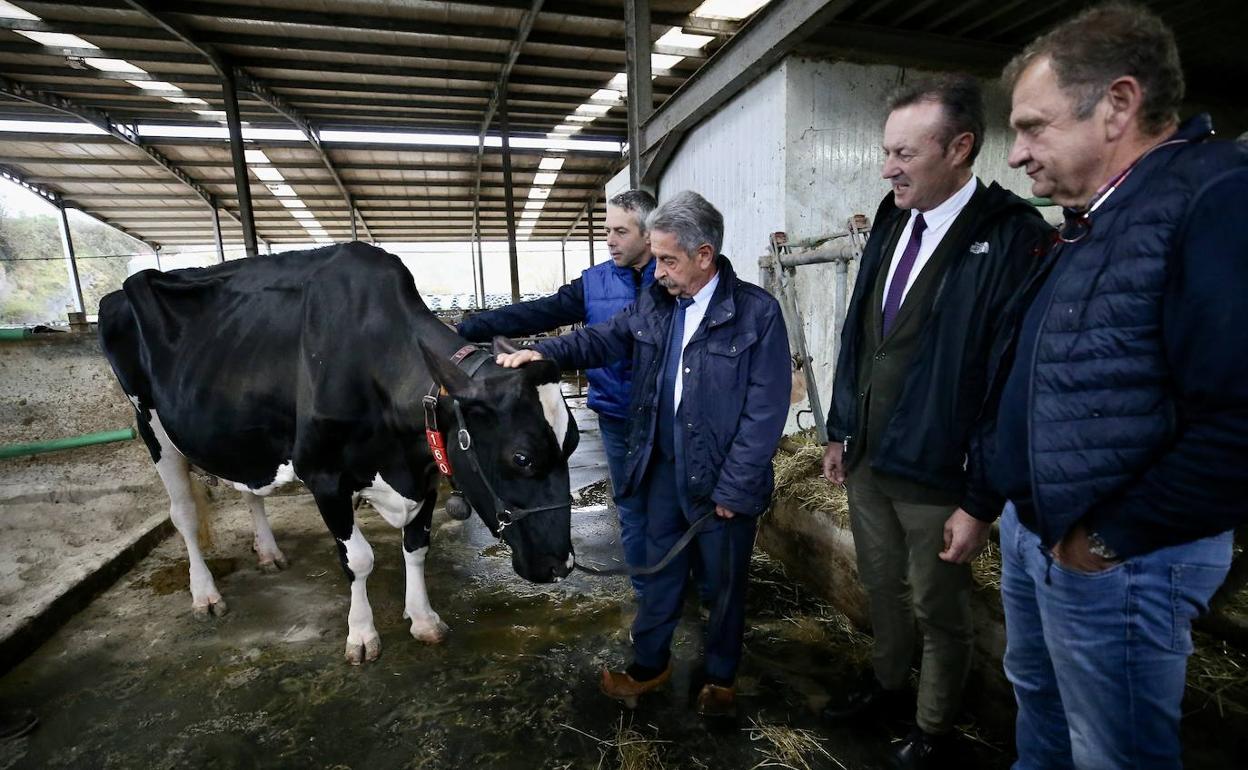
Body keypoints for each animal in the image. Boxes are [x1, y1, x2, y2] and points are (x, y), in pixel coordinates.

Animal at [98, 243, 579, 663]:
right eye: (521, 457)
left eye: (572, 444)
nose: (563, 565)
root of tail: (118, 292)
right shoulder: (323, 474)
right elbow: (359, 560)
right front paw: (362, 635)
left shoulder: (424, 470)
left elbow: (417, 546)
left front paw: (423, 619)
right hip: (150, 425)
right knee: (182, 514)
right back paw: (204, 594)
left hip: (239, 435)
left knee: (250, 490)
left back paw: (268, 553)